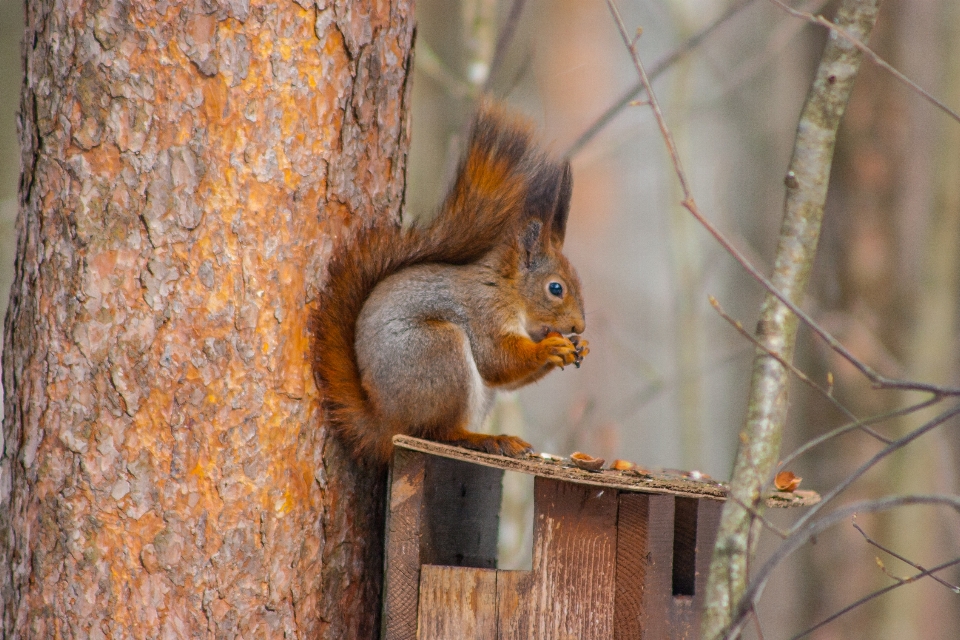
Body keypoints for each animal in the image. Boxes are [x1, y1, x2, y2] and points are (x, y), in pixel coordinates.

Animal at [312, 105, 588, 464]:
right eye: (556, 288)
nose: (580, 327)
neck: (507, 288)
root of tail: (385, 423)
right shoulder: (483, 310)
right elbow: (497, 361)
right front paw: (551, 347)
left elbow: (507, 380)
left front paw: (577, 347)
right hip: (439, 355)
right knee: (439, 431)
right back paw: (487, 439)